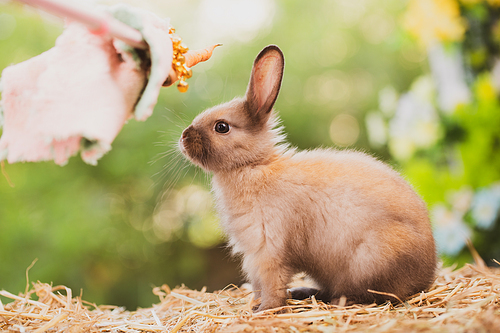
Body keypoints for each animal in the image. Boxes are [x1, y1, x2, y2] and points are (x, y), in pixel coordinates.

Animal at [178, 44, 436, 312]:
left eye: (222, 127)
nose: (184, 137)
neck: (253, 165)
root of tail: (426, 278)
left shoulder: (268, 249)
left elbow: (271, 285)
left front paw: (265, 310)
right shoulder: (254, 256)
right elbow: (258, 285)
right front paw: (254, 307)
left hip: (369, 263)